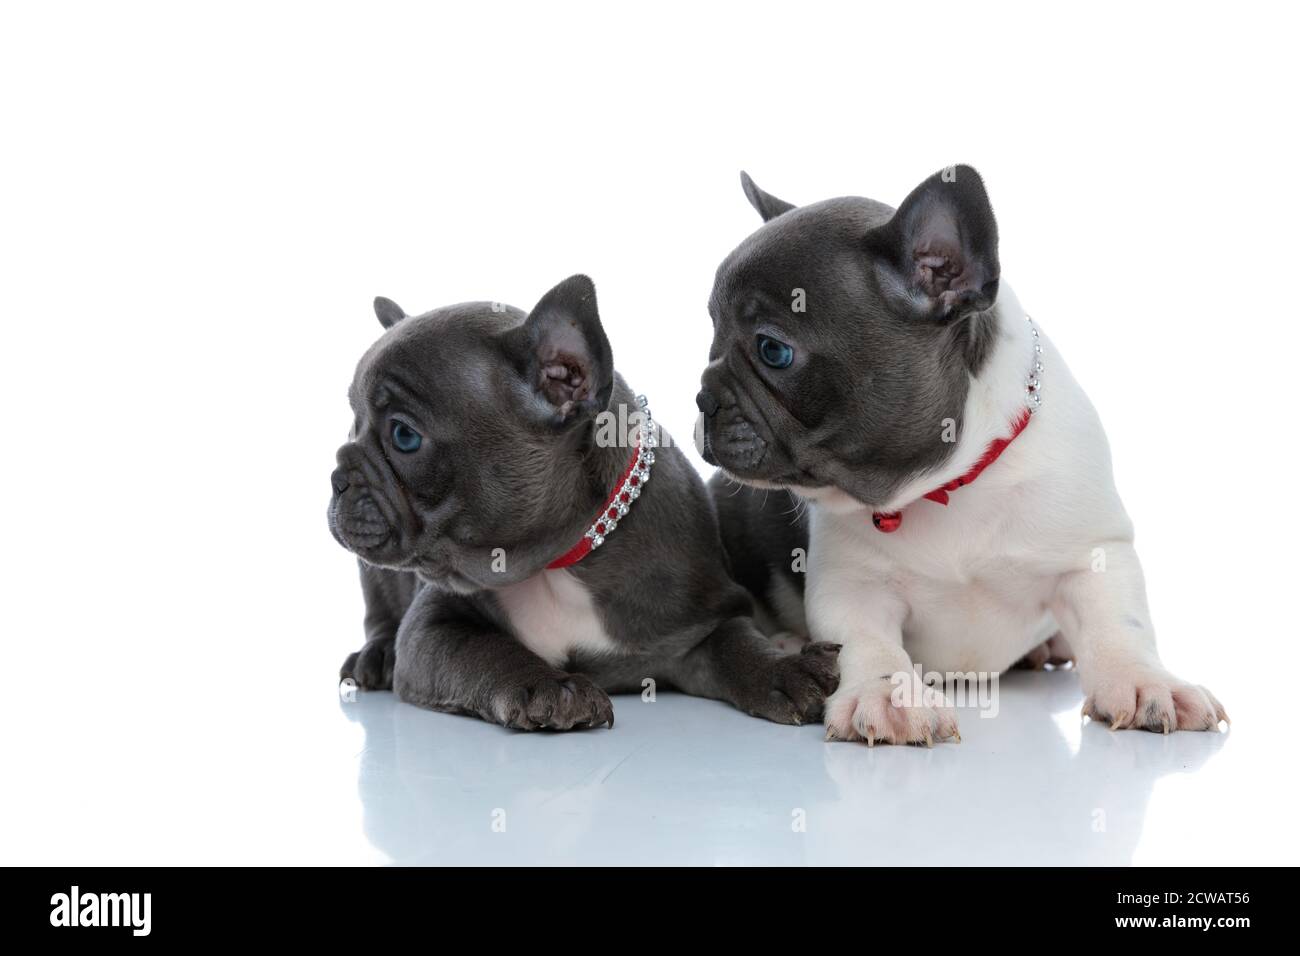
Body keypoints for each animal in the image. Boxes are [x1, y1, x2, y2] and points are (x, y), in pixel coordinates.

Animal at [325, 277, 832, 733]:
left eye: (404, 436)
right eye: (353, 423)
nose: (338, 476)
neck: (557, 561)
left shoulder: (702, 622)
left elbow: (737, 645)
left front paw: (783, 669)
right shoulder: (430, 628)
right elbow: (487, 649)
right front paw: (549, 685)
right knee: (380, 613)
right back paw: (375, 655)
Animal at [696, 167, 1222, 743]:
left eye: (773, 350)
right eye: (712, 335)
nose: (703, 397)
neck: (950, 483)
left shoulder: (1094, 552)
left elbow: (1121, 623)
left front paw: (1147, 683)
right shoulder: (853, 585)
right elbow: (866, 640)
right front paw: (888, 694)